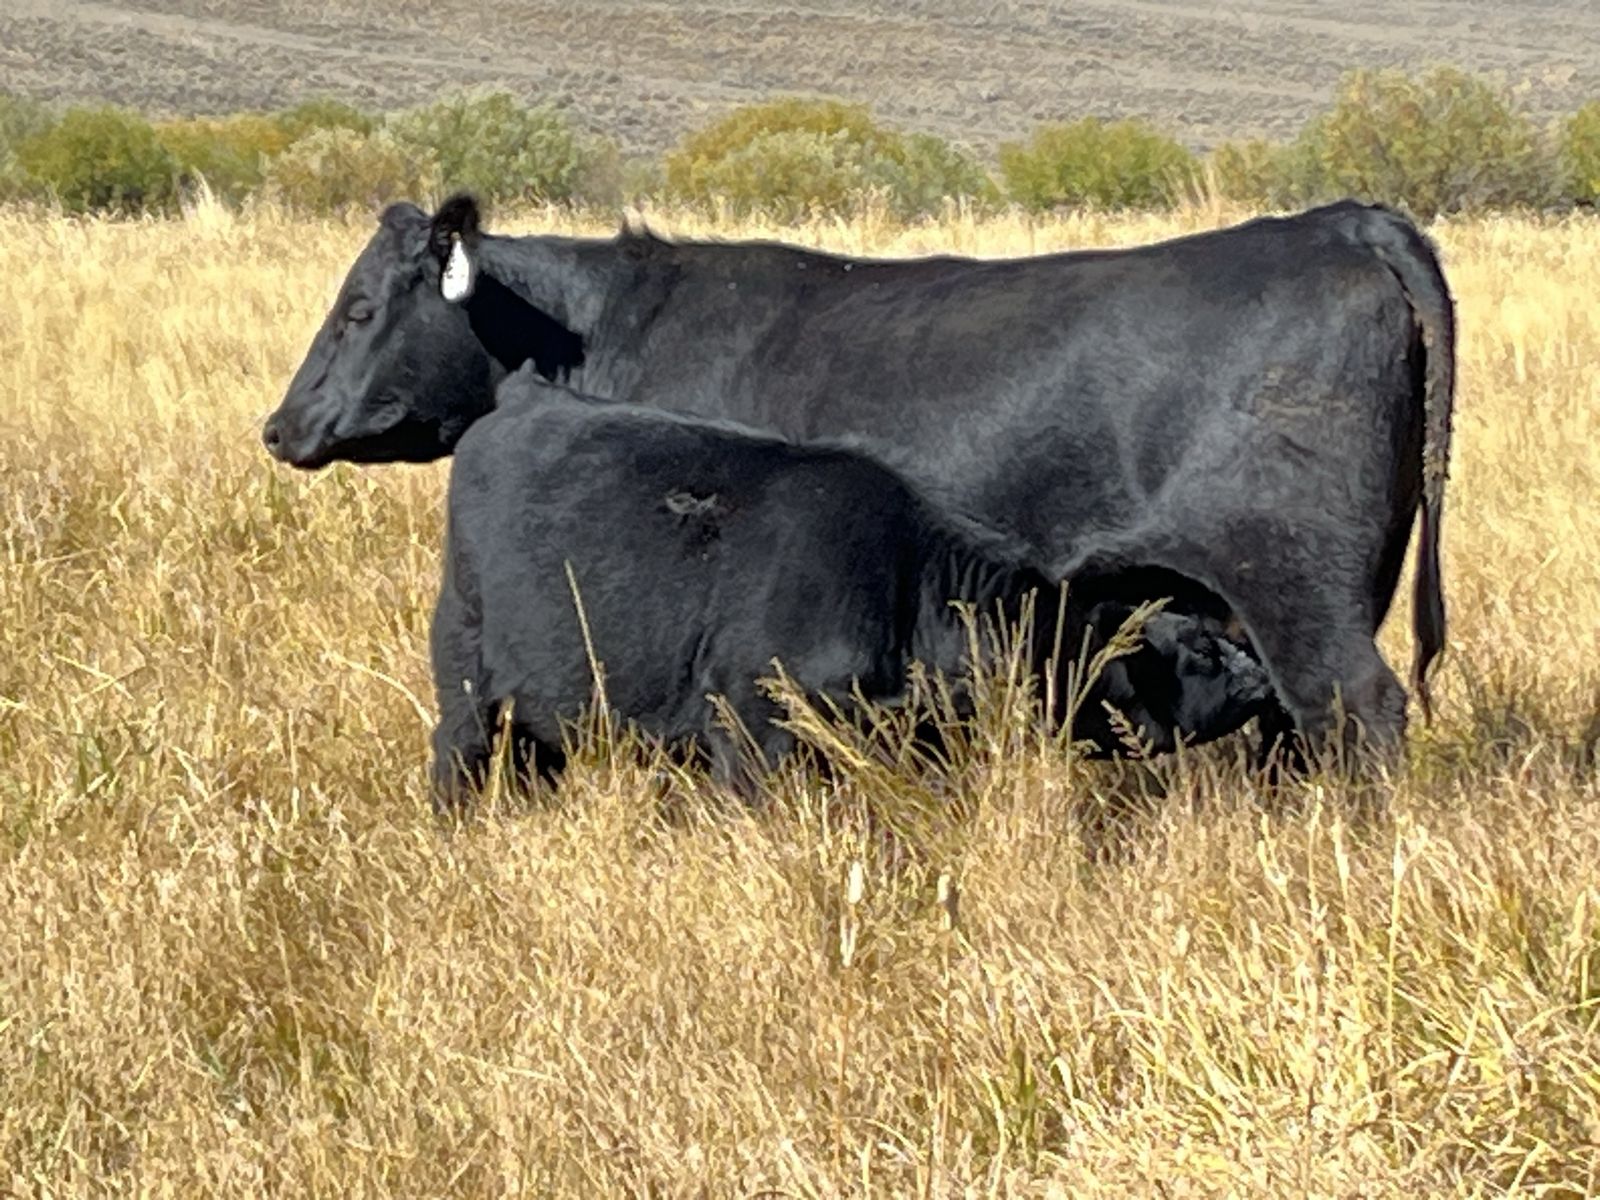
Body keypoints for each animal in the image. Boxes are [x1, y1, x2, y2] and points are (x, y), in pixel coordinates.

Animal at [426, 368, 1274, 810]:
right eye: (1200, 644)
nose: (1260, 678)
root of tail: (525, 395)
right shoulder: (751, 734)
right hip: (465, 674)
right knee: (456, 755)